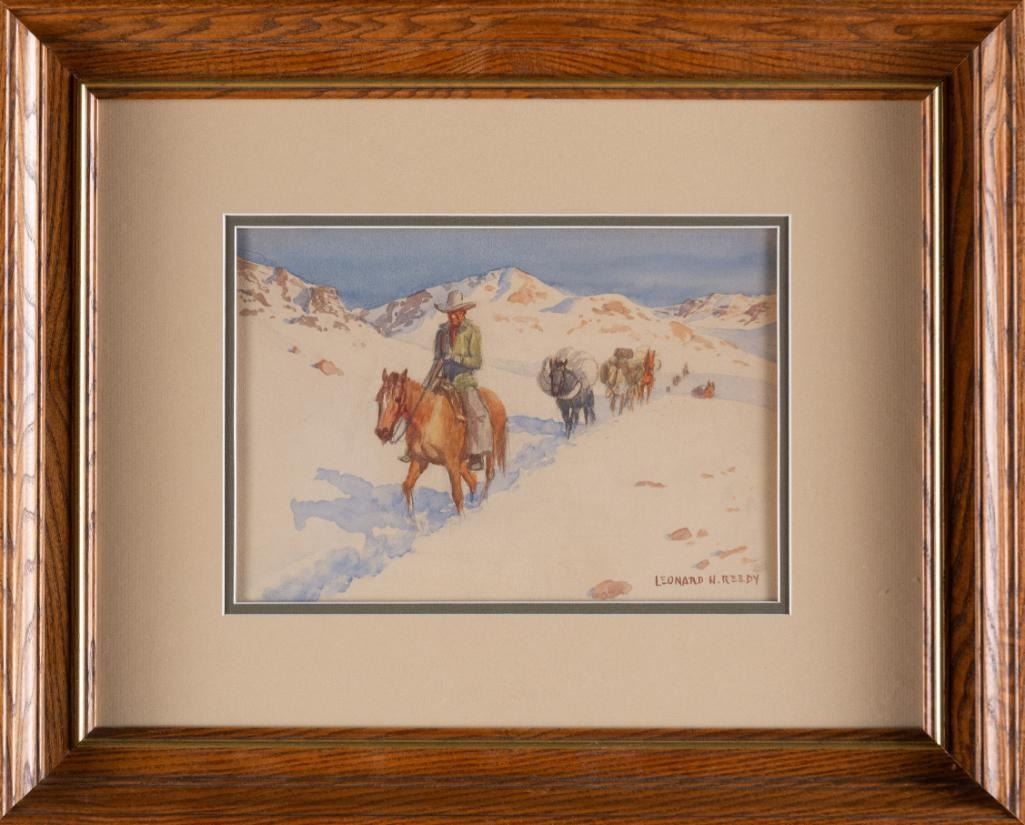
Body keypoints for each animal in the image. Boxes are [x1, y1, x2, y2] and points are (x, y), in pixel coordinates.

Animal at [374, 369, 507, 515]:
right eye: (378, 399)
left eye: (397, 399)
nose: (382, 431)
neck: (427, 416)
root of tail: (496, 398)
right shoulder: (420, 459)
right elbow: (407, 486)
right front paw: (413, 520)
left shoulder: (451, 463)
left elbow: (457, 496)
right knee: (472, 479)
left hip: (491, 451)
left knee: (489, 475)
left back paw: (482, 503)